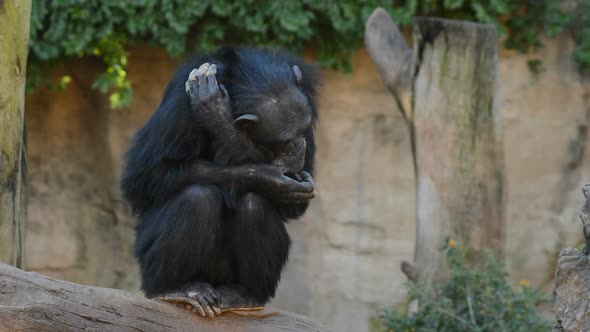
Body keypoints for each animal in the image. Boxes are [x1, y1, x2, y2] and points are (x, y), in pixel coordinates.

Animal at [121, 48, 322, 318]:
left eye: (303, 130)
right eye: (284, 141)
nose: (299, 146)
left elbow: (295, 203)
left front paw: (219, 117)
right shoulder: (180, 102)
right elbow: (145, 176)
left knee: (254, 203)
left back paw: (245, 294)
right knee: (197, 197)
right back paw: (180, 289)